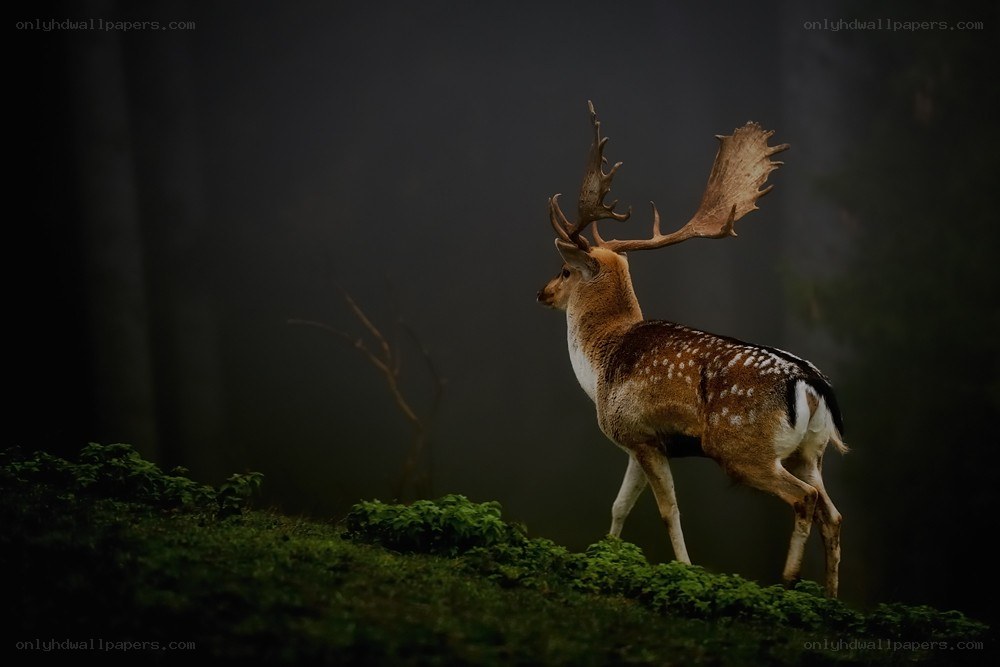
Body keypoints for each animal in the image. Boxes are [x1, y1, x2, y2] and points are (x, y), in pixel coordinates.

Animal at [537, 102, 847, 597]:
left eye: (565, 271)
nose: (542, 293)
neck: (599, 364)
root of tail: (810, 381)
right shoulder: (636, 441)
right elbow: (619, 505)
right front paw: (604, 557)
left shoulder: (639, 432)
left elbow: (669, 510)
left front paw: (685, 570)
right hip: (811, 450)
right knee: (833, 514)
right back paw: (832, 598)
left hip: (743, 449)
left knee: (806, 499)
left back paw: (787, 578)